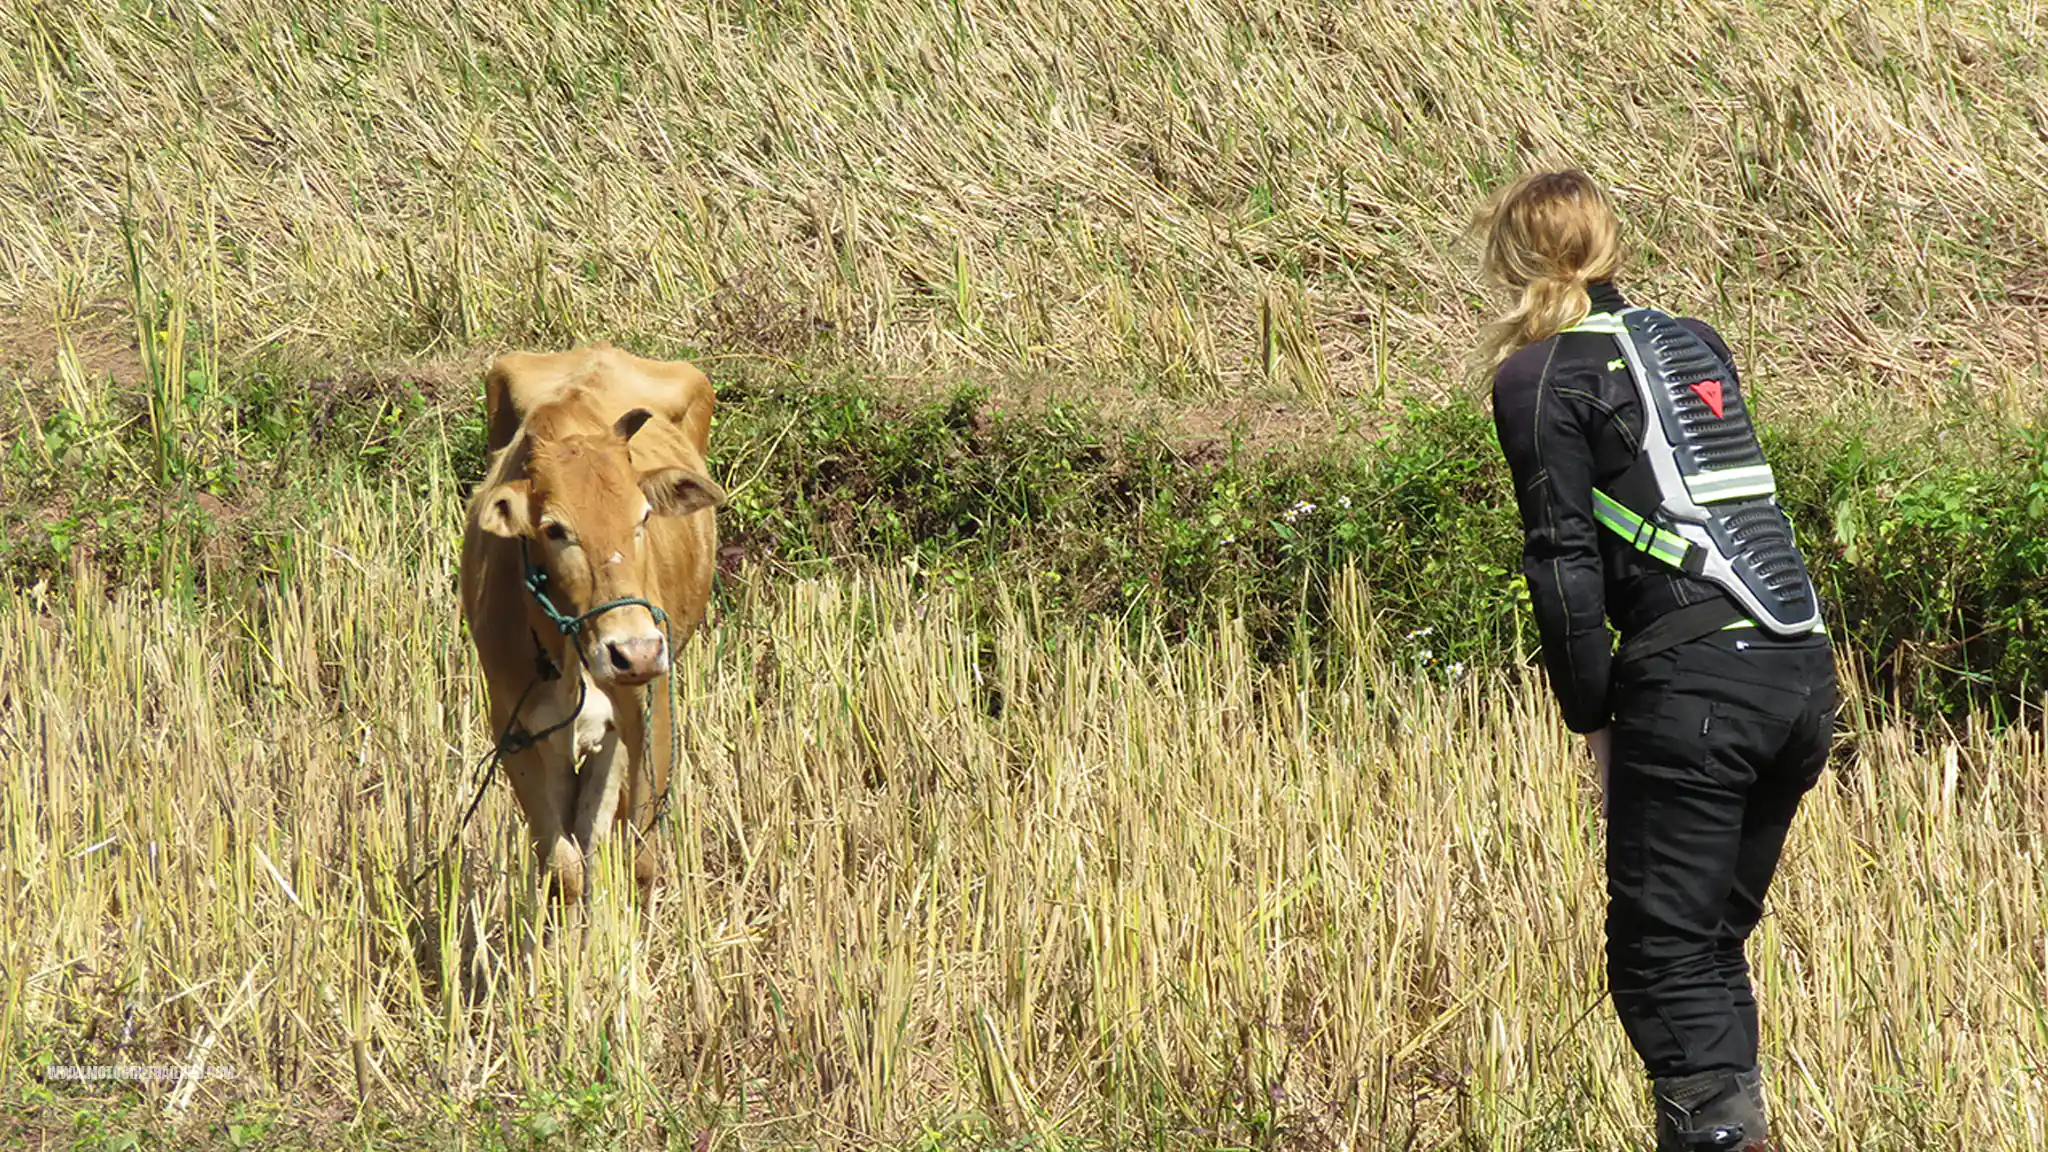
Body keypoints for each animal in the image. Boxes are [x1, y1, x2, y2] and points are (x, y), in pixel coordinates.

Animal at [457, 344, 723, 906]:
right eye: (555, 529)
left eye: (643, 516)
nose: (634, 651)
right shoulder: (514, 726)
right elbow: (563, 865)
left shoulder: (650, 707)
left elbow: (639, 859)